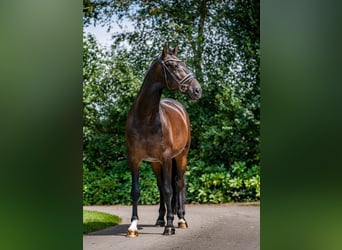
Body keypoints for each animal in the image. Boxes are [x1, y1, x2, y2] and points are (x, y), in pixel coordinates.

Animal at [125, 43, 200, 236]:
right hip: (155, 163)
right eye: (173, 65)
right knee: (161, 185)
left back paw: (180, 219)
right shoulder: (135, 159)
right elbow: (136, 191)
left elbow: (169, 190)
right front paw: (133, 226)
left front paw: (169, 226)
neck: (146, 118)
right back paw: (160, 218)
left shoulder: (166, 158)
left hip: (181, 157)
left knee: (178, 184)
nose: (197, 90)